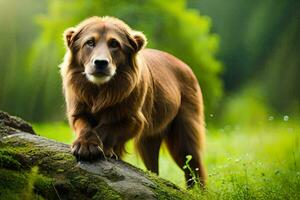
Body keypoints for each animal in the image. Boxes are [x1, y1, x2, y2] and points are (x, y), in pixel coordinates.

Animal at [61, 16, 206, 187]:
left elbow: (106, 128)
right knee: (153, 166)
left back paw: (197, 190)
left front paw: (96, 148)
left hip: (185, 129)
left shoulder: (133, 119)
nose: (101, 62)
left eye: (114, 44)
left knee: (193, 165)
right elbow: (84, 126)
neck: (101, 90)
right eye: (89, 42)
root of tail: (185, 66)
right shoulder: (78, 110)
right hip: (149, 140)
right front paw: (84, 145)